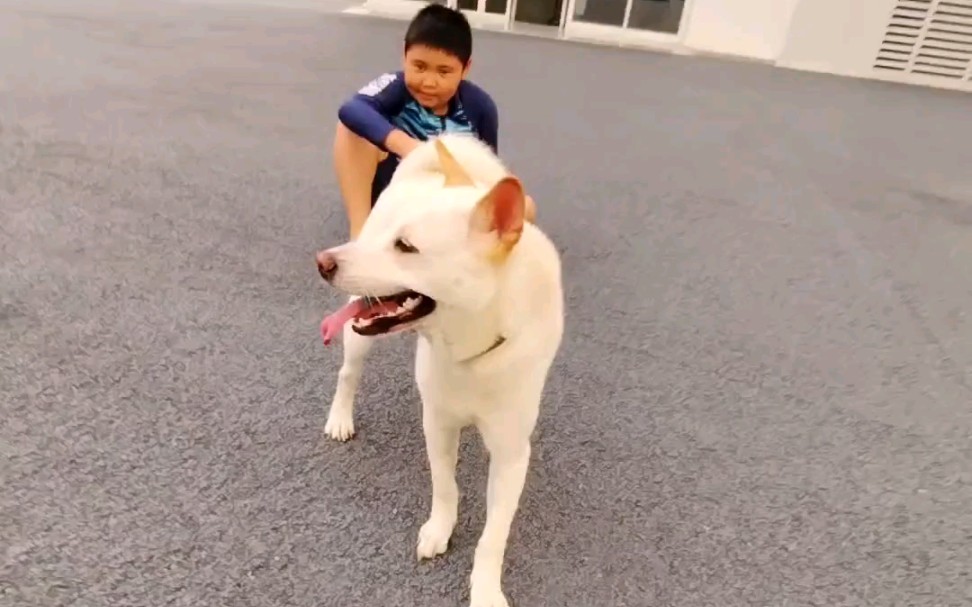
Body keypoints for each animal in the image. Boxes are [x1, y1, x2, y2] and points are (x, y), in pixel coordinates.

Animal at [316, 134, 564, 607]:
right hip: (360, 328)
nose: (321, 262)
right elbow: (445, 487)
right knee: (347, 374)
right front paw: (439, 530)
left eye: (406, 247)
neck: (472, 350)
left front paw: (485, 589)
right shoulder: (438, 421)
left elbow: (493, 536)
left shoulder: (511, 454)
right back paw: (339, 417)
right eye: (392, 239)